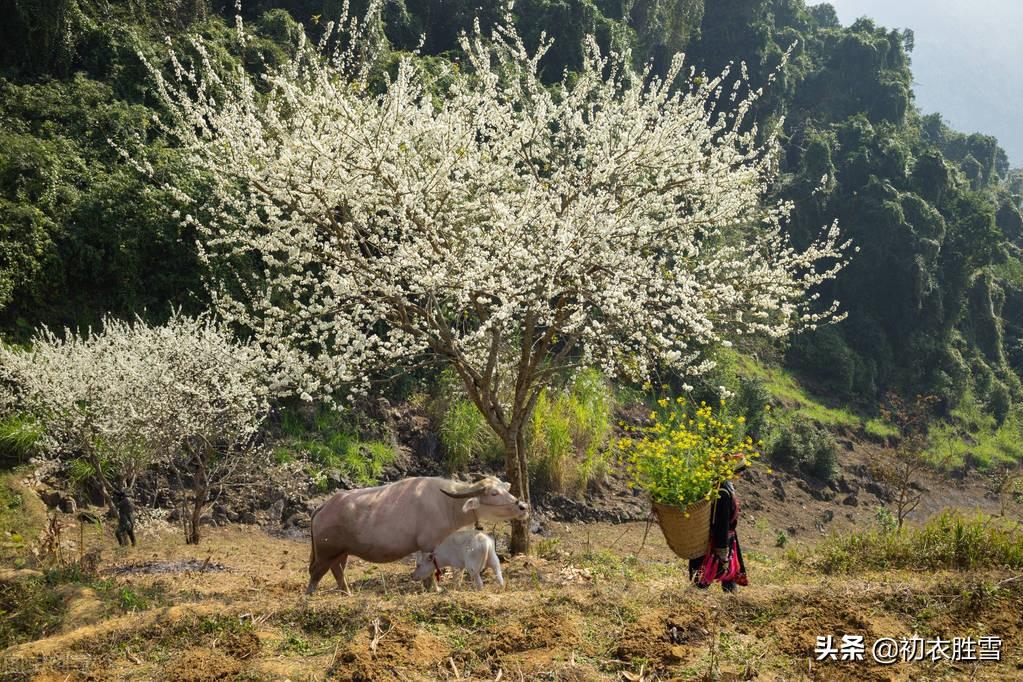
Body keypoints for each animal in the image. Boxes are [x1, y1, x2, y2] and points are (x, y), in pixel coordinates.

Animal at [302, 478, 527, 593]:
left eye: (504, 489)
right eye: (494, 493)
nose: (523, 506)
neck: (447, 504)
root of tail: (324, 506)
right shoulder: (429, 545)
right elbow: (432, 570)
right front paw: (434, 589)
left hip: (342, 552)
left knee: (338, 571)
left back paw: (347, 592)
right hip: (326, 552)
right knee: (316, 572)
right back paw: (310, 594)